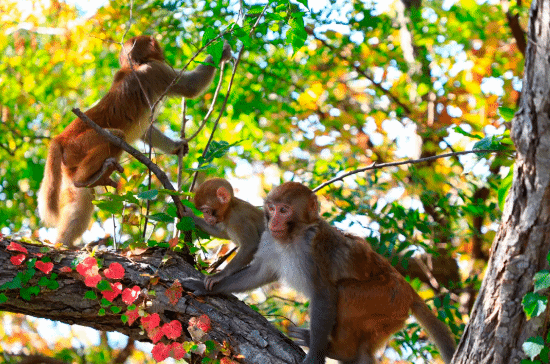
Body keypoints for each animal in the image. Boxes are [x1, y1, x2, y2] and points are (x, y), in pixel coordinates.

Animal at [38, 34, 233, 247]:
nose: (158, 48)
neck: (134, 66)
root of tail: (60, 138)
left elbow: (145, 132)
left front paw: (176, 147)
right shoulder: (156, 70)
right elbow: (192, 87)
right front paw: (223, 50)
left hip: (69, 162)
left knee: (79, 204)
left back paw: (63, 242)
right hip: (78, 145)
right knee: (116, 137)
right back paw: (84, 180)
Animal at [185, 182, 458, 364]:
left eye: (284, 210)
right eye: (272, 208)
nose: (273, 222)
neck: (293, 235)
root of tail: (407, 289)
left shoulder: (313, 249)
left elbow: (324, 294)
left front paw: (315, 356)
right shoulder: (270, 241)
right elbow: (260, 273)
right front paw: (209, 286)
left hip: (386, 298)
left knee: (344, 294)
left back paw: (338, 352)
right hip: (391, 315)